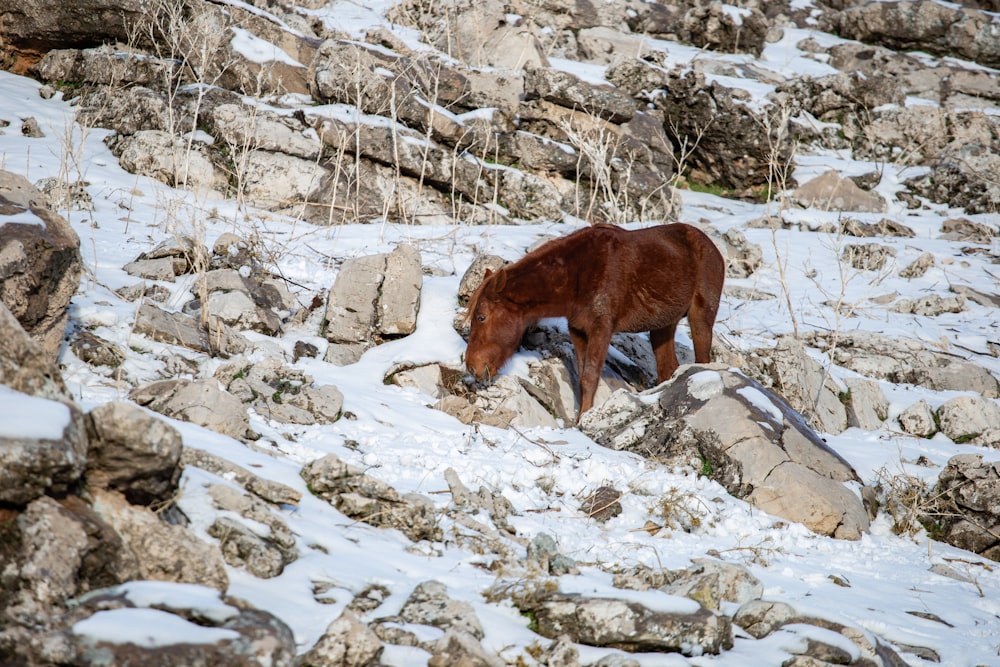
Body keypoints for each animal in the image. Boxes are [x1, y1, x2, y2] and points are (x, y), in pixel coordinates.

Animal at [460, 224, 728, 422]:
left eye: (481, 317)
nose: (472, 366)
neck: (578, 275)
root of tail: (711, 247)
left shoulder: (601, 330)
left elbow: (590, 376)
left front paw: (583, 420)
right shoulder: (579, 331)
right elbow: (582, 378)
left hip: (700, 316)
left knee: (702, 360)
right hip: (663, 325)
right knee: (667, 369)